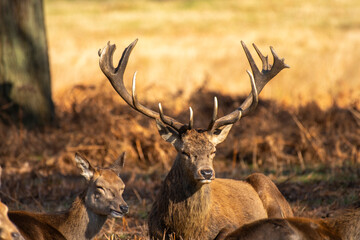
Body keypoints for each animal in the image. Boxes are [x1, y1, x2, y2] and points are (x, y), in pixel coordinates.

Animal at [99, 39, 292, 240]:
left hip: (269, 188)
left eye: (213, 151)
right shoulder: (154, 230)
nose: (206, 172)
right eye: (184, 151)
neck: (190, 230)